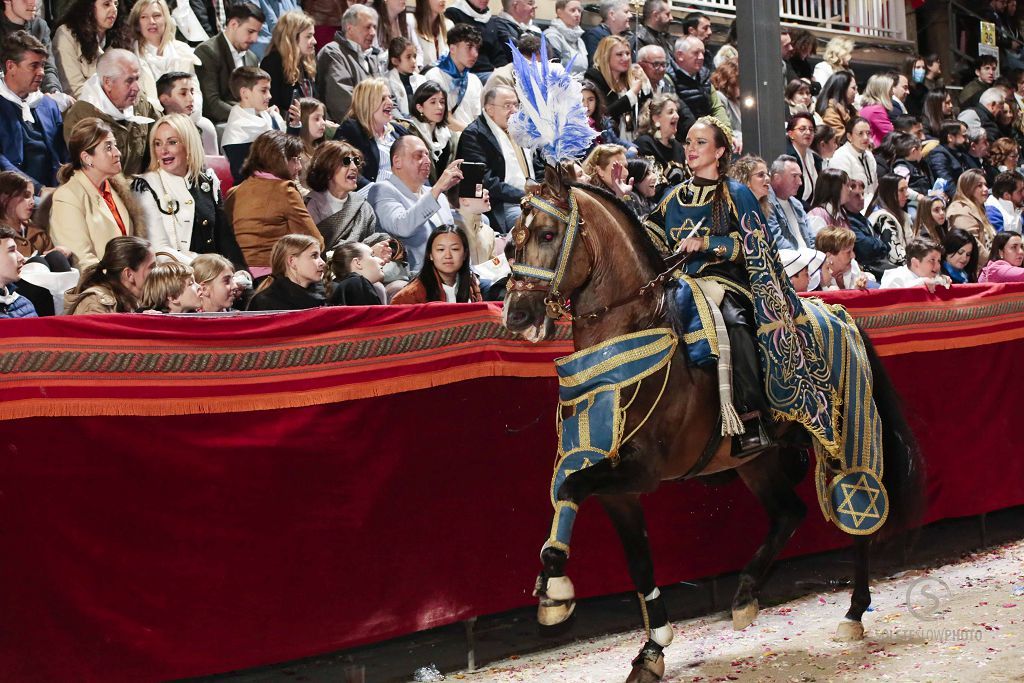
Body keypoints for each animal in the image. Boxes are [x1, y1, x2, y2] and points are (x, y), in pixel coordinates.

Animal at [499, 166, 925, 683]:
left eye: (546, 234)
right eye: (512, 242)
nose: (518, 315)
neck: (634, 332)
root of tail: (839, 313)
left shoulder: (641, 471)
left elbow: (572, 488)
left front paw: (555, 587)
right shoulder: (616, 484)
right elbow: (627, 550)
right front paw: (651, 648)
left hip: (844, 441)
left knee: (858, 508)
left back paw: (854, 612)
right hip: (756, 461)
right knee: (789, 513)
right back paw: (744, 596)